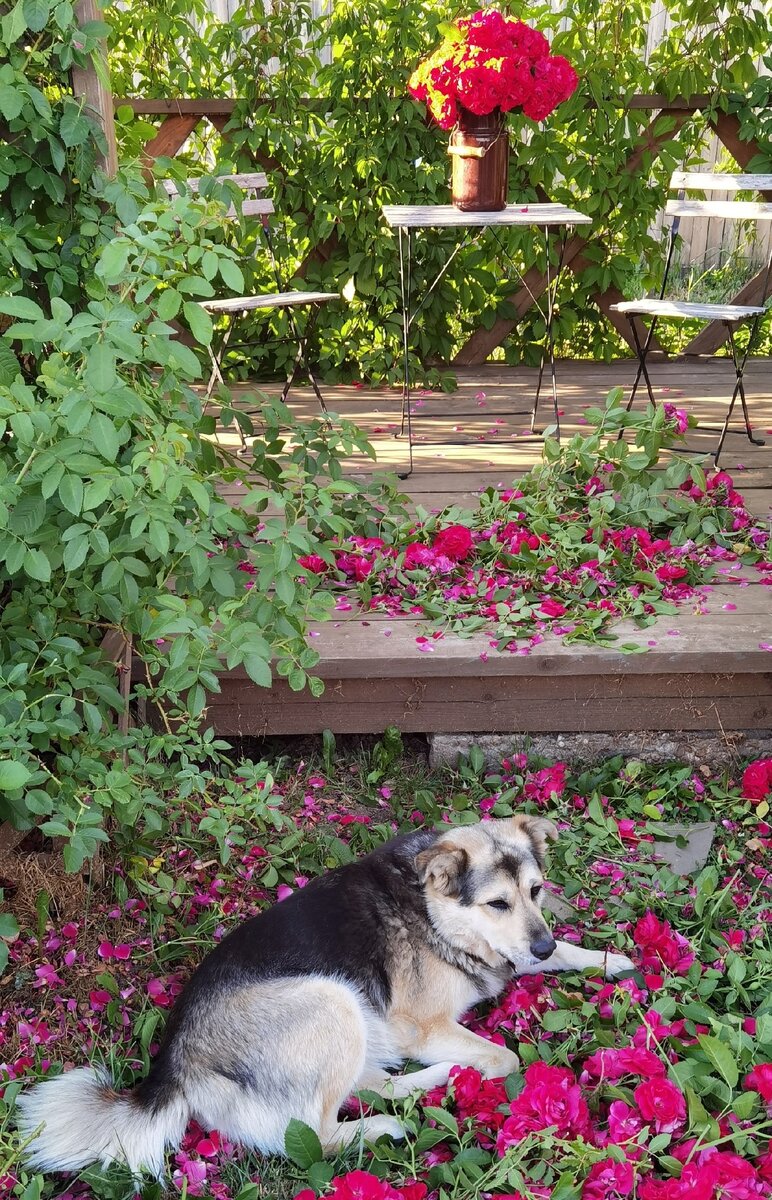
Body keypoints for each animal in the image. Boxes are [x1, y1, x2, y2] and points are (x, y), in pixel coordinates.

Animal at [16, 816, 633, 1171]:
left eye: (536, 891)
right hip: (334, 1001)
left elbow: (554, 953)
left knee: (370, 1086)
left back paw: (438, 1081)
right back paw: (393, 1121)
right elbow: (506, 1058)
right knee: (320, 1129)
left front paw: (606, 959)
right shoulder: (422, 1026)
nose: (542, 947)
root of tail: (175, 1063)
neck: (433, 911)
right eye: (497, 903)